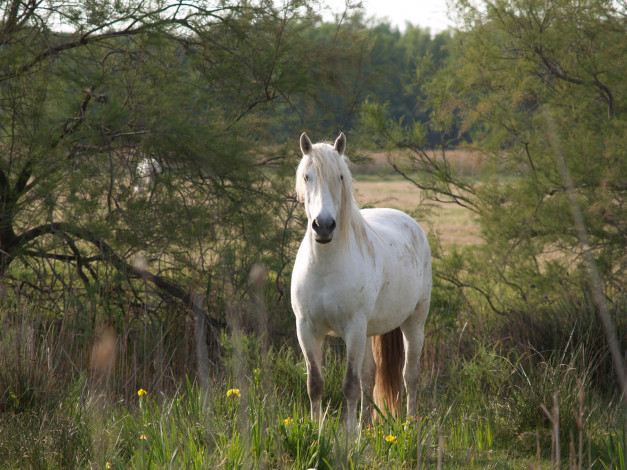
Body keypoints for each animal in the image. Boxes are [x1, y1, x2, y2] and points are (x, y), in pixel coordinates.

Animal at [290, 132, 430, 430]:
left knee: (410, 375)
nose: (324, 226)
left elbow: (350, 385)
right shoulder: (306, 329)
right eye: (307, 176)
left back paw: (410, 425)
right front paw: (317, 431)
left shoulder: (353, 330)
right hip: (368, 332)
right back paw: (366, 426)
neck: (326, 267)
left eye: (340, 176)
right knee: (370, 376)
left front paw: (348, 435)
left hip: (414, 322)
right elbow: (315, 384)